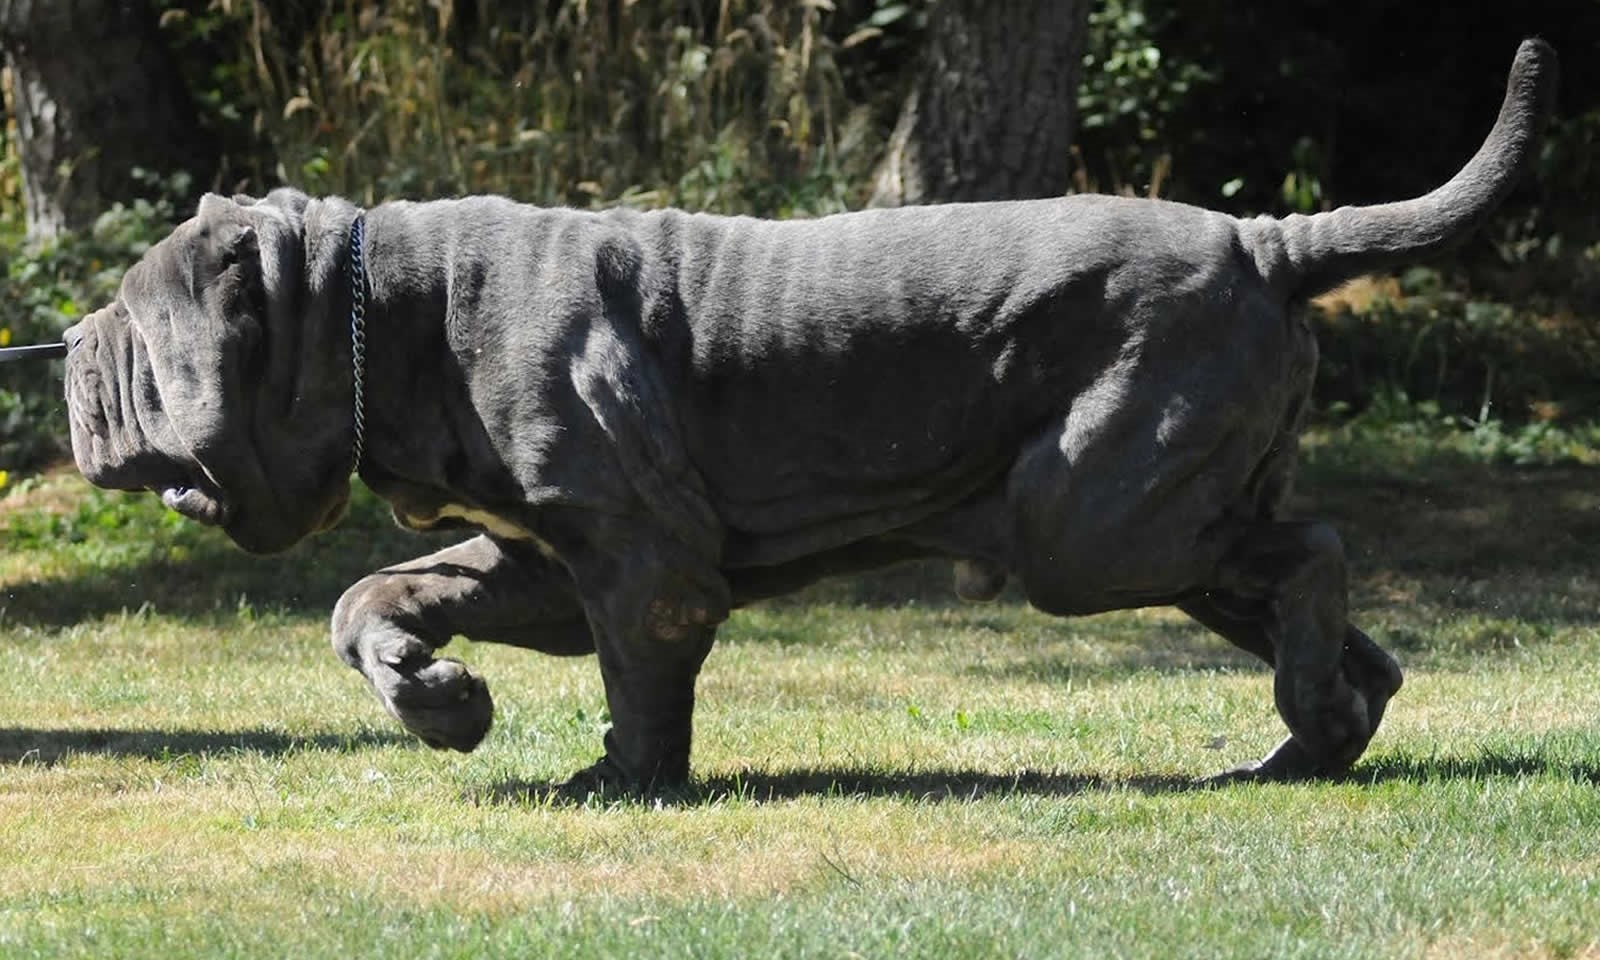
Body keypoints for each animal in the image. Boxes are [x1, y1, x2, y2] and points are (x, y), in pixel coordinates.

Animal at [68, 41, 1555, 790]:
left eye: (134, 341)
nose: (68, 355)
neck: (389, 313)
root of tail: (1263, 240)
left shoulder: (642, 553)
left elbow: (643, 676)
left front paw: (626, 781)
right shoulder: (543, 556)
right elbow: (370, 596)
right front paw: (440, 700)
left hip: (1094, 522)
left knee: (1314, 555)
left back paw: (1300, 721)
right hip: (1166, 513)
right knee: (1322, 605)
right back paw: (1310, 741)